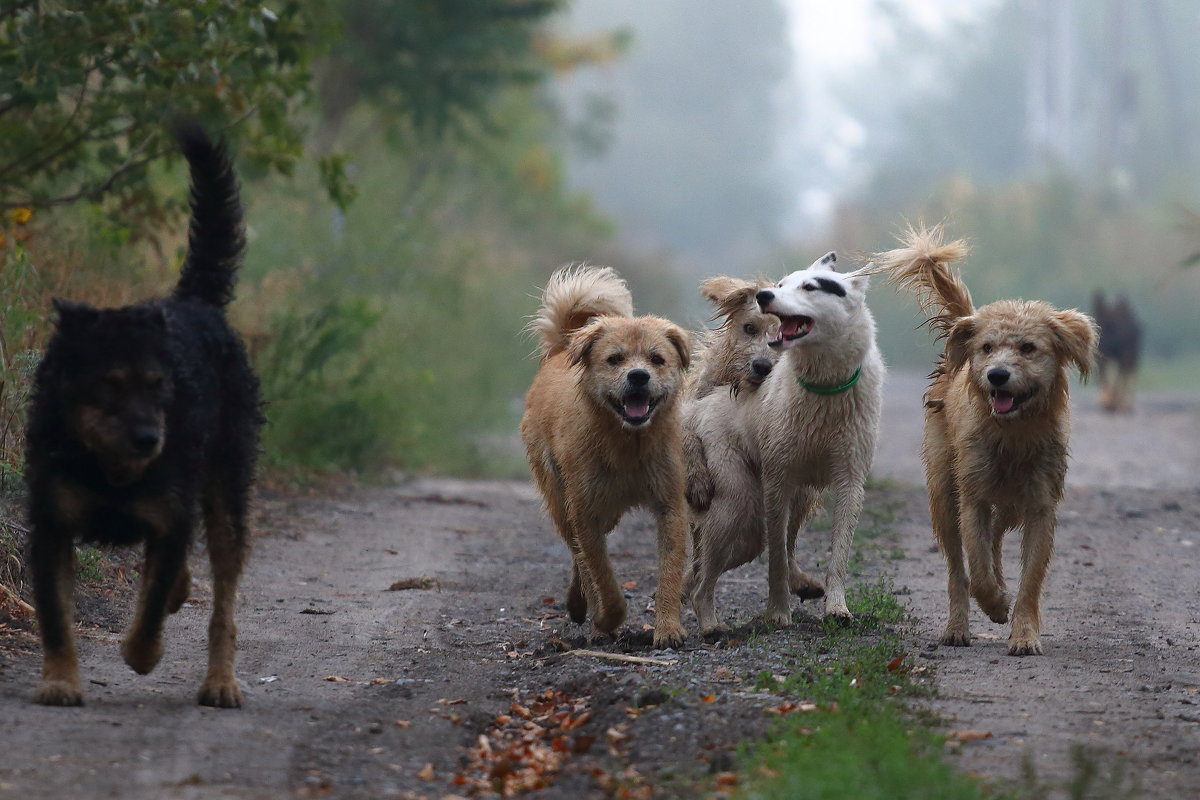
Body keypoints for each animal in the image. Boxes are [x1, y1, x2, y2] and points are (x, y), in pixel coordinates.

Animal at [24, 122, 261, 710]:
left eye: (161, 386)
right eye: (108, 386)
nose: (150, 439)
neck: (108, 466)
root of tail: (197, 303)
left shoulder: (170, 519)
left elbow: (150, 608)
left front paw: (141, 654)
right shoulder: (51, 524)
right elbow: (56, 616)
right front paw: (59, 681)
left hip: (228, 492)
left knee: (223, 603)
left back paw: (220, 683)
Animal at [518, 266, 696, 647]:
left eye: (657, 359)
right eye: (615, 359)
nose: (639, 376)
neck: (628, 443)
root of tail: (561, 349)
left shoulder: (670, 505)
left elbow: (669, 571)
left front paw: (668, 627)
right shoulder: (584, 511)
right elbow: (601, 572)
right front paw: (607, 617)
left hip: (606, 510)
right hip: (562, 500)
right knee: (577, 552)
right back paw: (584, 608)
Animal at [873, 225, 1099, 657]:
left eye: (1028, 348)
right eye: (987, 348)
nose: (997, 375)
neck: (1013, 434)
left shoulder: (1040, 504)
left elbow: (1030, 579)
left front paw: (1024, 633)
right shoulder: (973, 495)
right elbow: (975, 568)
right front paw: (994, 604)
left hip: (1008, 501)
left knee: (994, 537)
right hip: (944, 492)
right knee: (958, 568)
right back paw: (957, 626)